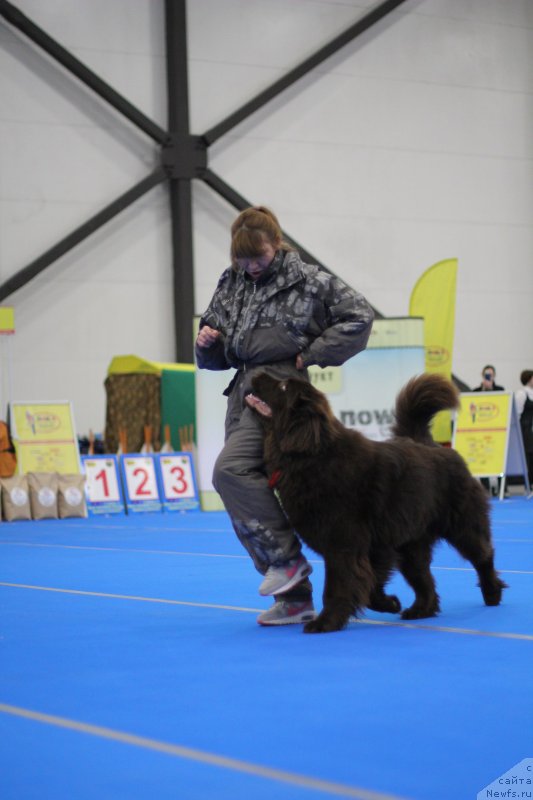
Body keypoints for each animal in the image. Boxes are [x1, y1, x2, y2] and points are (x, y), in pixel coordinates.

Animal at [246, 372, 508, 636]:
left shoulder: (344, 546)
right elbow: (370, 583)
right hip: (411, 545)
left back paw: (492, 593)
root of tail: (430, 444)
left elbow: (339, 586)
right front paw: (390, 603)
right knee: (424, 578)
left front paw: (326, 622)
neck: (314, 456)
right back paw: (421, 609)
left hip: (462, 526)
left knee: (483, 556)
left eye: (283, 386)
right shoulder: (376, 547)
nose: (256, 373)